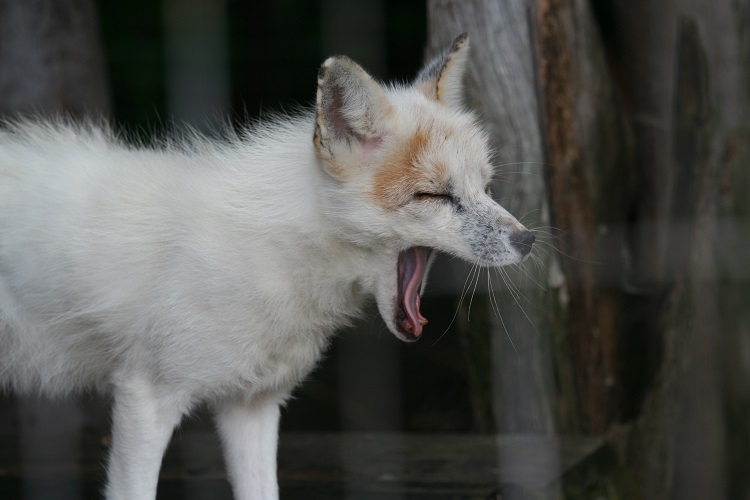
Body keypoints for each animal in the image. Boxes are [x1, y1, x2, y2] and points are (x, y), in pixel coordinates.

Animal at [2, 33, 536, 498]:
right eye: (434, 195)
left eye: (485, 188)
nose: (528, 240)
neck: (274, 255)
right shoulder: (146, 398)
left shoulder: (252, 405)